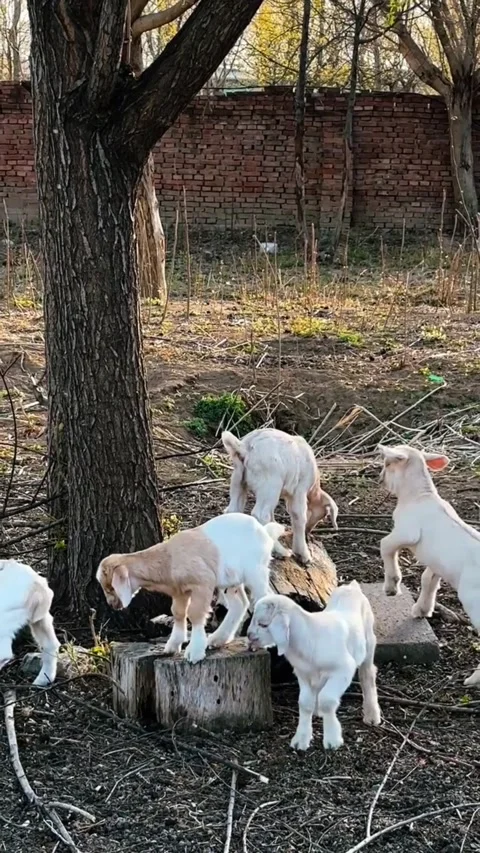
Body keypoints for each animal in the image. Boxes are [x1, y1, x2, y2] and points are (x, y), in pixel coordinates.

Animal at [97, 512, 286, 664]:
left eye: (110, 587)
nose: (113, 605)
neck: (168, 559)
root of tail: (264, 531)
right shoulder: (179, 591)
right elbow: (178, 612)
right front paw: (173, 645)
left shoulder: (203, 583)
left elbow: (195, 614)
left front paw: (194, 652)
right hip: (231, 579)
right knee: (239, 603)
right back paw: (217, 639)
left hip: (256, 571)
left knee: (265, 598)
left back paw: (263, 642)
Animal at [221, 427, 338, 565]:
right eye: (323, 515)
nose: (308, 531)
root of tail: (245, 448)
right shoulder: (300, 489)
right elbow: (298, 516)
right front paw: (303, 554)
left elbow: (273, 516)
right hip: (271, 484)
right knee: (260, 515)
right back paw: (281, 551)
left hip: (238, 479)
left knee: (233, 510)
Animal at [247, 581, 381, 750]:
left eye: (263, 624)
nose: (249, 635)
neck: (309, 636)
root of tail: (351, 587)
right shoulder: (303, 674)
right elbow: (304, 703)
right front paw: (301, 739)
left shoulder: (343, 669)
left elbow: (327, 700)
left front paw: (332, 740)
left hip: (369, 641)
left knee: (367, 675)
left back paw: (372, 715)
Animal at [378, 442, 480, 687]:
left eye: (387, 463)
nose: (380, 478)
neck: (419, 496)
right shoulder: (435, 559)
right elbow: (428, 579)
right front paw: (421, 610)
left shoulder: (407, 531)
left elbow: (385, 544)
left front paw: (392, 586)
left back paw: (473, 679)